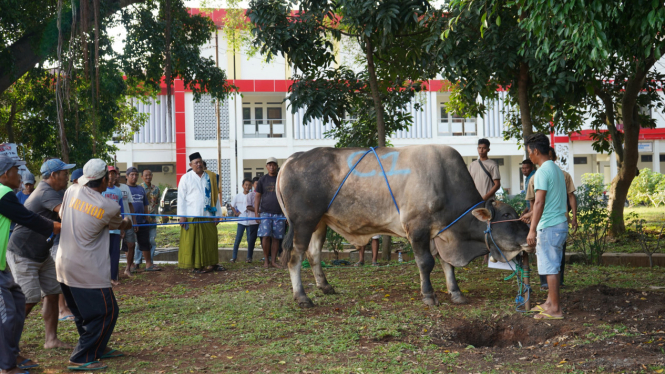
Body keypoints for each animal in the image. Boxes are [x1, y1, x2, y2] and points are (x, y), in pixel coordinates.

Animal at [274, 145, 528, 306]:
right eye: (507, 214)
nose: (529, 236)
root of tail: (292, 158)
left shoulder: (440, 233)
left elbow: (447, 265)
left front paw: (455, 292)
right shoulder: (417, 229)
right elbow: (426, 263)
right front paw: (429, 296)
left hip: (320, 223)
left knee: (314, 254)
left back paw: (325, 287)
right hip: (302, 222)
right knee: (295, 257)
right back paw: (302, 297)